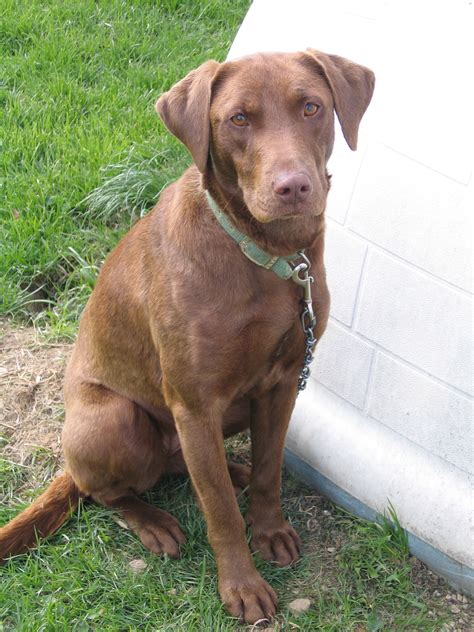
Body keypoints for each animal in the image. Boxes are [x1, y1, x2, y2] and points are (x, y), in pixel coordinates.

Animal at [1, 49, 376, 624]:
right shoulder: (195, 402)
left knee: (191, 468)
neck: (263, 255)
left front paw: (269, 529)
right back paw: (153, 522)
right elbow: (219, 511)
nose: (292, 187)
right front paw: (242, 585)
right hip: (116, 421)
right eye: (238, 119)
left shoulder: (284, 382)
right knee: (107, 491)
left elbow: (270, 470)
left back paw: (234, 469)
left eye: (312, 107)